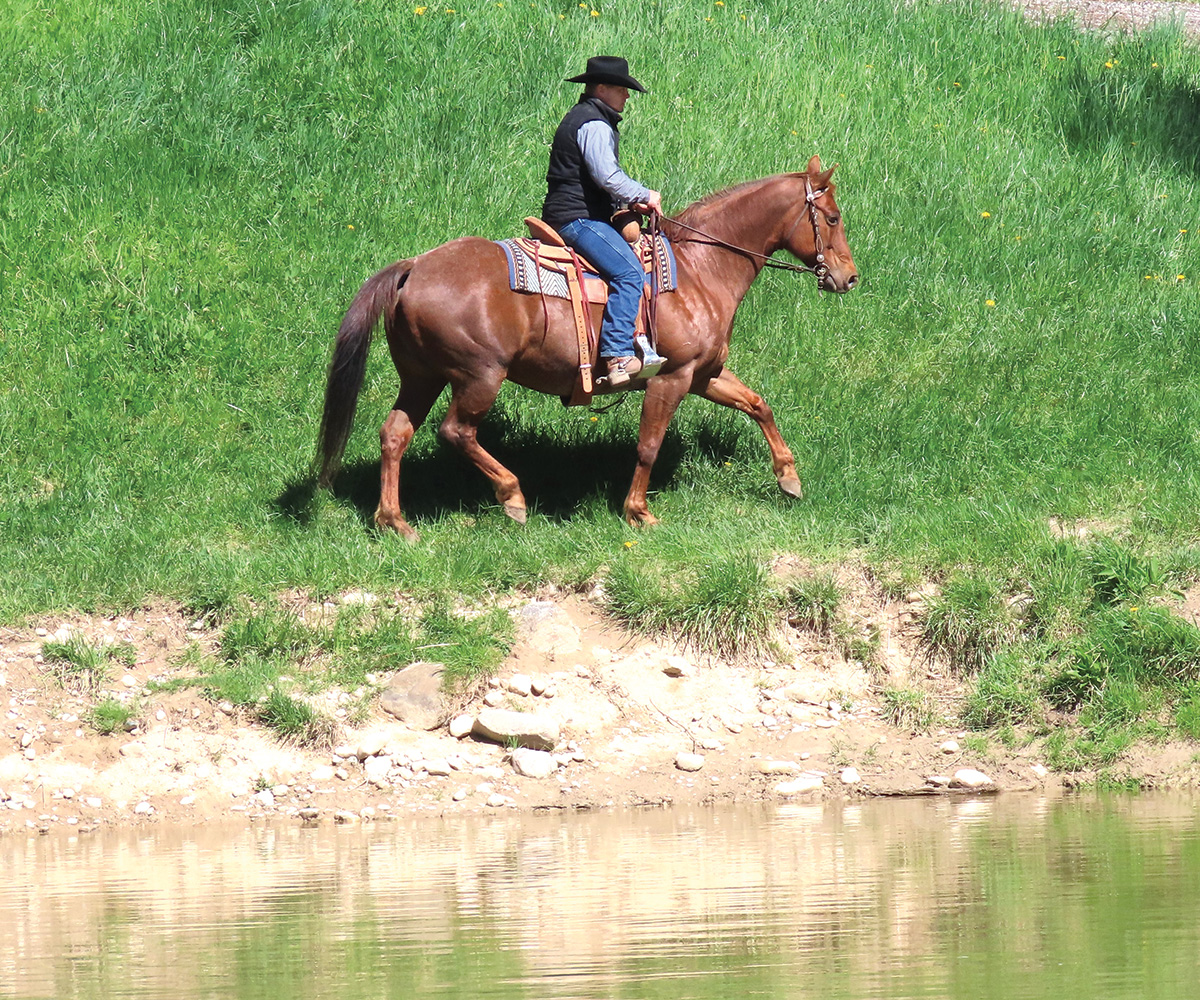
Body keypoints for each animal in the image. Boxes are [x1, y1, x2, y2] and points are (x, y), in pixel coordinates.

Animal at [314, 154, 859, 537]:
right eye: (832, 218)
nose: (849, 278)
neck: (699, 270)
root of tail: (414, 267)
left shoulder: (704, 375)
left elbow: (758, 405)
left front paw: (788, 477)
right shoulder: (672, 377)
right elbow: (648, 445)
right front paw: (639, 512)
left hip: (421, 378)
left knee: (395, 433)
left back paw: (395, 522)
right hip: (478, 377)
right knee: (456, 432)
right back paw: (512, 496)